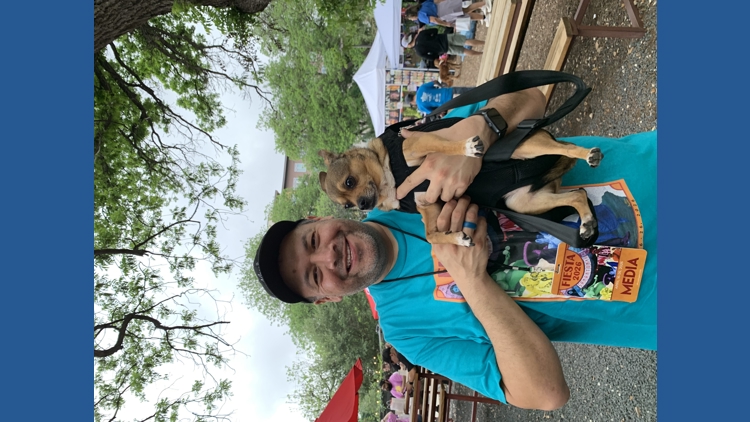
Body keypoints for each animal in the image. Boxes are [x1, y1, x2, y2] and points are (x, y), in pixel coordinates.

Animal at [318, 125, 603, 247]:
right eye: (347, 206)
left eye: (350, 181)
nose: (362, 205)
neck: (391, 182)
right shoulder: (429, 205)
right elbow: (432, 236)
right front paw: (457, 238)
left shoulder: (420, 146)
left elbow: (446, 147)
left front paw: (467, 147)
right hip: (523, 202)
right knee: (577, 195)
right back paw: (587, 221)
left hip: (526, 148)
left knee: (567, 147)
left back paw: (588, 154)